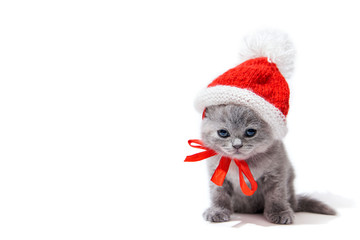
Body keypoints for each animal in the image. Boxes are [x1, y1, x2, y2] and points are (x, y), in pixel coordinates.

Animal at [201, 104, 336, 224]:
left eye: (250, 132)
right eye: (223, 133)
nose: (237, 145)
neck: (242, 162)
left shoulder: (276, 173)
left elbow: (276, 195)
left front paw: (279, 213)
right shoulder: (217, 175)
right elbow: (218, 194)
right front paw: (217, 211)